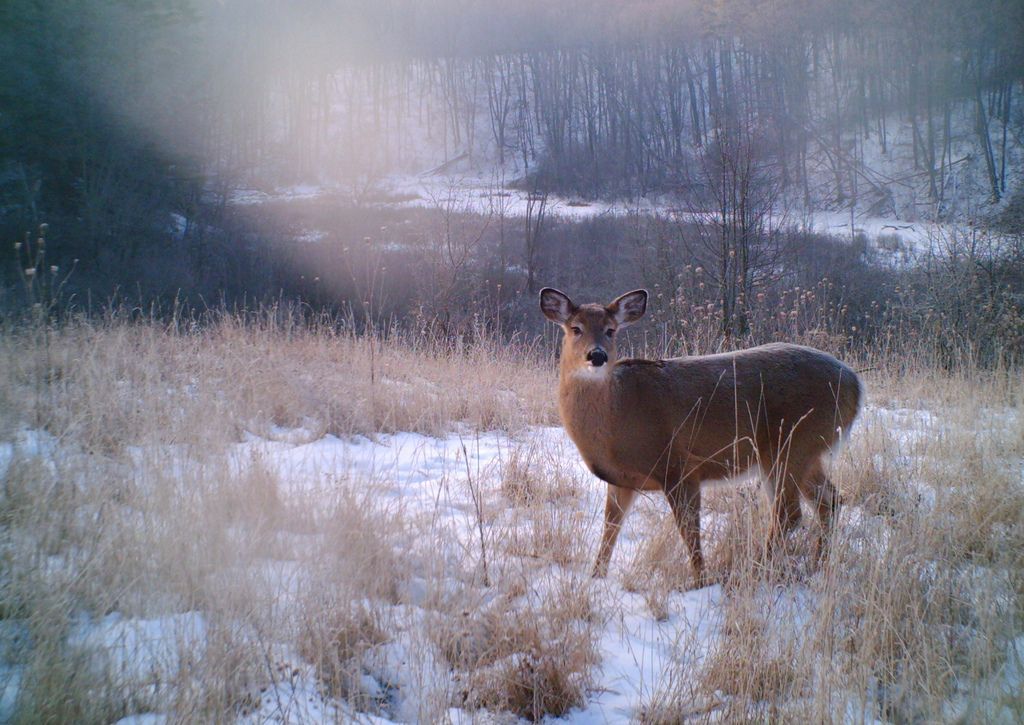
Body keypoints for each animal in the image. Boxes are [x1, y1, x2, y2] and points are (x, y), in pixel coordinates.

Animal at [540, 286, 860, 585]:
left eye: (611, 330)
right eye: (575, 328)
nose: (597, 355)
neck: (616, 417)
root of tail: (856, 385)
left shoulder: (679, 466)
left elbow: (689, 530)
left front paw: (701, 581)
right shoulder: (622, 481)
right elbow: (610, 528)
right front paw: (596, 576)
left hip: (790, 444)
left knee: (789, 514)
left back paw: (756, 569)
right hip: (809, 451)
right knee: (829, 501)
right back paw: (818, 566)